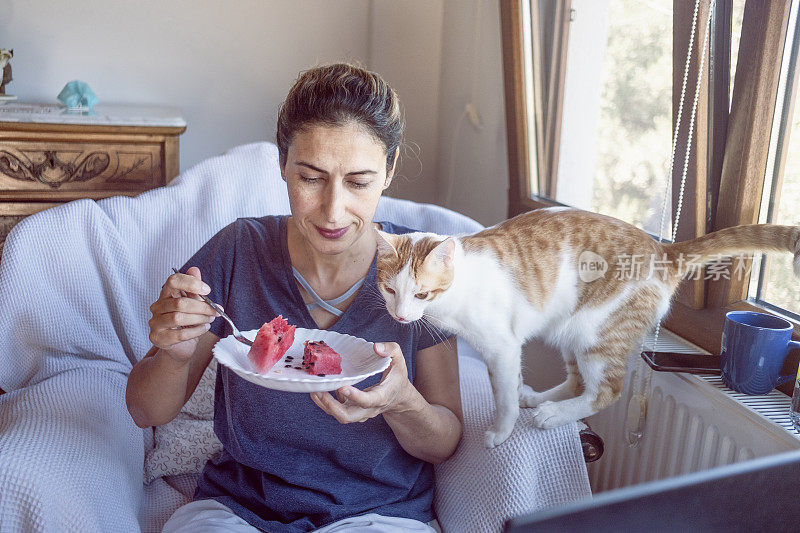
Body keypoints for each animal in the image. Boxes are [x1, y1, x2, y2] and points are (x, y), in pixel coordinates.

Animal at [376, 206, 800, 446]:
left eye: (422, 294)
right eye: (389, 289)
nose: (400, 317)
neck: (458, 288)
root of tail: (663, 250)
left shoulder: (501, 346)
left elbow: (504, 397)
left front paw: (501, 431)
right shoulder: (509, 349)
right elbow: (511, 384)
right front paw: (519, 399)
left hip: (596, 332)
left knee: (606, 390)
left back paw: (555, 415)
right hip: (568, 330)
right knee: (578, 380)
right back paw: (541, 400)